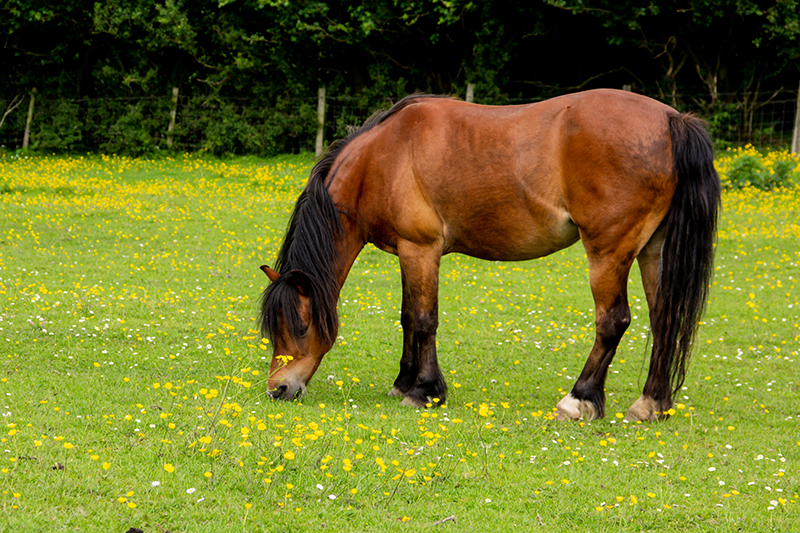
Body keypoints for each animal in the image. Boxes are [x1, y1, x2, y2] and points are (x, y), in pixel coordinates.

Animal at [258, 89, 720, 421]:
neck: (382, 158)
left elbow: (423, 319)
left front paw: (424, 391)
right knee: (664, 320)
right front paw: (404, 382)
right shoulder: (408, 252)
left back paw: (579, 400)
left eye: (301, 326)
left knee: (613, 321)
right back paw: (651, 404)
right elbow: (408, 317)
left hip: (608, 252)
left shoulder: (421, 250)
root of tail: (672, 120)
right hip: (653, 249)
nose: (278, 389)